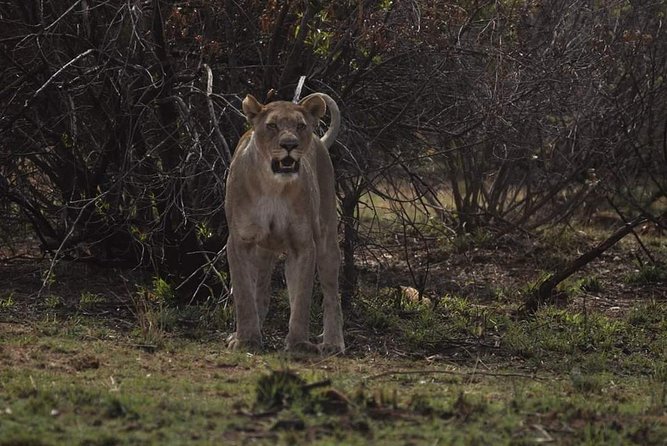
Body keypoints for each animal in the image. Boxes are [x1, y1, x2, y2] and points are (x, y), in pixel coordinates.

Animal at [224, 92, 345, 355]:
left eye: (300, 126)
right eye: (272, 126)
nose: (290, 145)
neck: (273, 187)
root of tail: (321, 142)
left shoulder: (303, 245)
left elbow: (302, 298)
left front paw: (298, 343)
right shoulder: (240, 241)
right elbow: (244, 293)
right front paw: (245, 339)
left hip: (327, 241)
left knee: (332, 295)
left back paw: (333, 342)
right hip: (262, 251)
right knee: (260, 292)